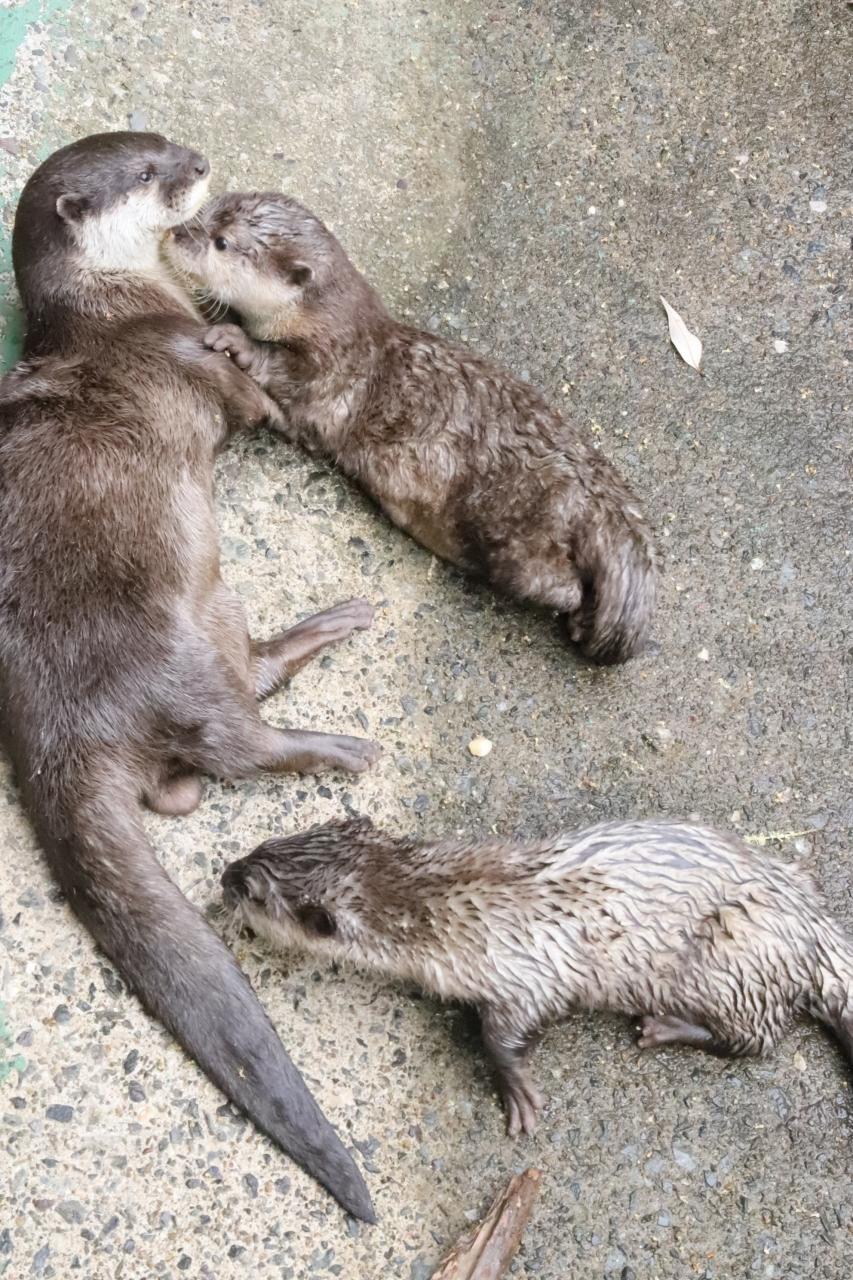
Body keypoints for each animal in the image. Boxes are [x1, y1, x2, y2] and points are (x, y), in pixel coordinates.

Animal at [0, 134, 379, 1221]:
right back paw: (343, 744)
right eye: (145, 172)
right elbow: (249, 397)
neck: (119, 306)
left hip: (209, 613)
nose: (199, 161)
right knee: (240, 736)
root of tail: (53, 727)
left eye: (156, 141)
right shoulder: (179, 351)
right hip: (183, 634)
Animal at [164, 193, 657, 664]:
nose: (173, 234)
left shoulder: (332, 375)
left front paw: (234, 339)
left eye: (221, 242)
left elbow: (286, 380)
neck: (326, 329)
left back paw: (577, 617)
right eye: (208, 208)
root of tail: (601, 500)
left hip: (518, 528)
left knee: (553, 582)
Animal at [222, 817, 853, 1136]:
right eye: (262, 845)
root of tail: (810, 920)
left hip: (734, 963)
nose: (225, 873)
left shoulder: (526, 970)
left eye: (252, 891)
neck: (439, 904)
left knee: (757, 1039)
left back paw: (663, 1027)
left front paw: (518, 1093)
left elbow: (503, 1035)